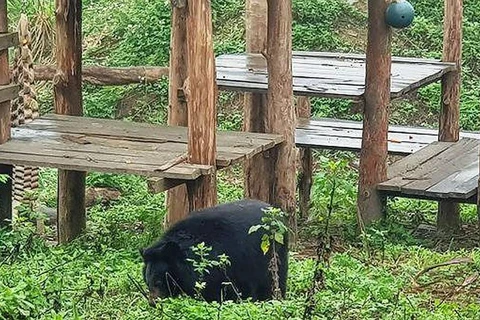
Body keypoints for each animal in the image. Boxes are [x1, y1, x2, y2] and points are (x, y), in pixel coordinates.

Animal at [140, 199, 288, 304]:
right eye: (147, 282)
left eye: (158, 282)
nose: (152, 303)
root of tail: (279, 214)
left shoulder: (220, 265)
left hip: (271, 253)